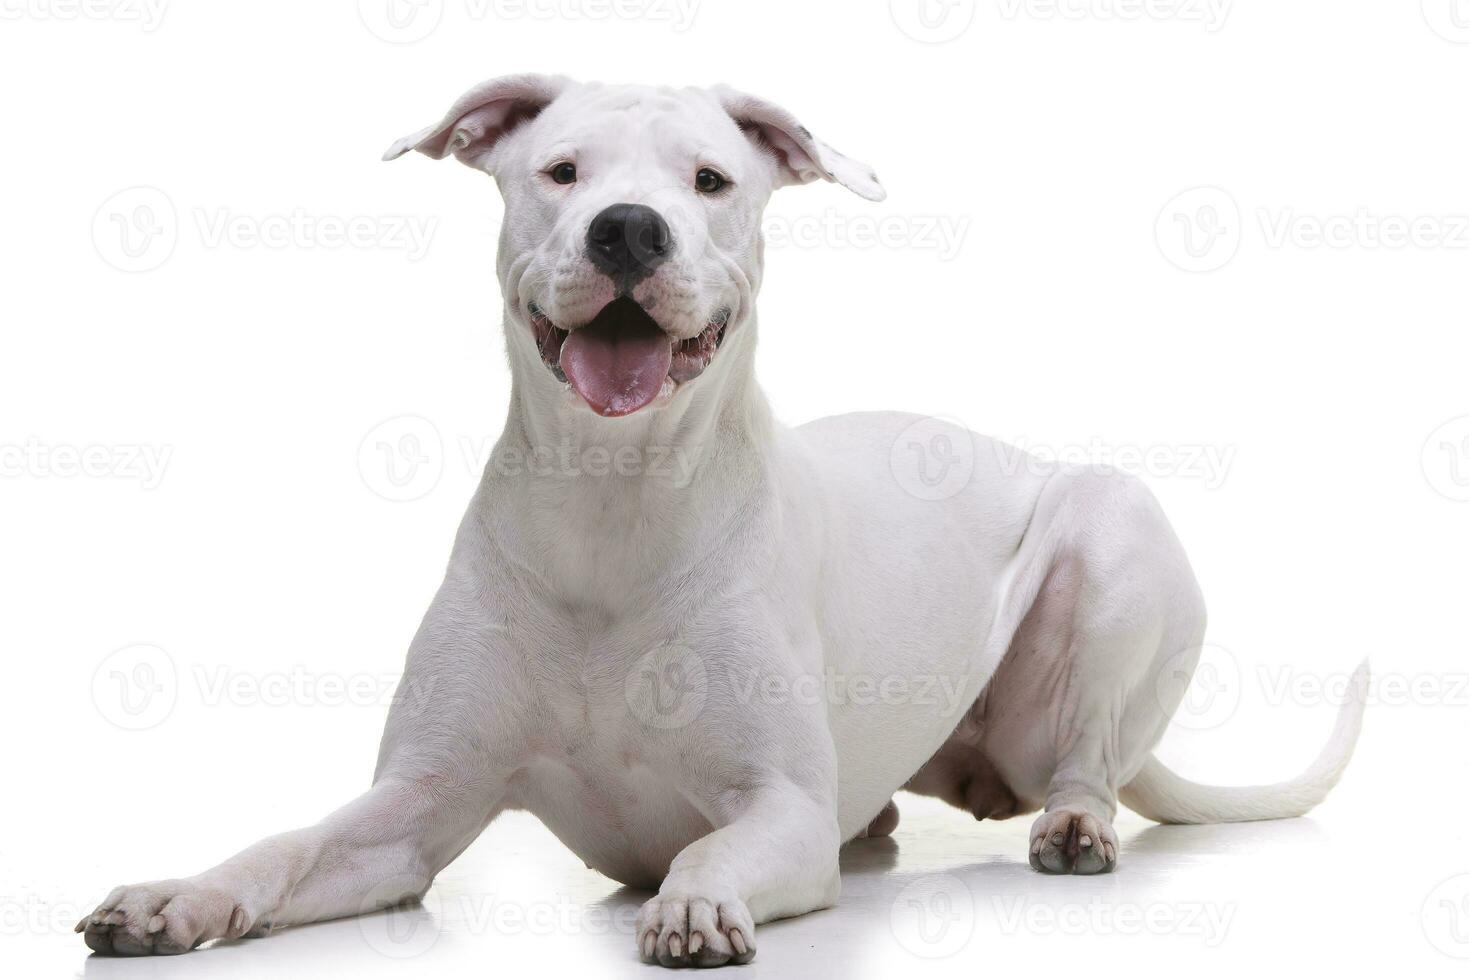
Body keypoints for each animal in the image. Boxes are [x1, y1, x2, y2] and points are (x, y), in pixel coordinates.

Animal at [80, 74, 1363, 963]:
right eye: (560, 171)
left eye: (708, 181)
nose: (626, 228)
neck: (611, 500)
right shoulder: (413, 808)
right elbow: (289, 843)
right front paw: (174, 895)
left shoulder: (781, 807)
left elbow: (712, 840)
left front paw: (693, 899)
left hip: (1111, 529)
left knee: (1087, 756)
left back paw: (1073, 825)